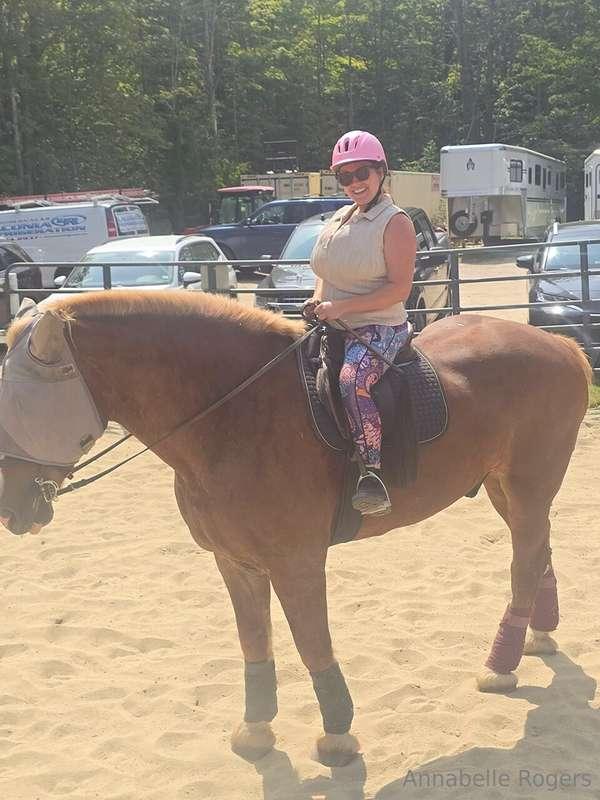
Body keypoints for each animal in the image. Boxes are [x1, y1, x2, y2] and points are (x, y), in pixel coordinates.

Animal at [0, 291, 591, 767]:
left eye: (16, 404)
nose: (11, 506)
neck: (235, 415)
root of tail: (563, 347)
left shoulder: (296, 562)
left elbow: (311, 642)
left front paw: (337, 737)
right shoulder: (235, 562)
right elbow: (254, 642)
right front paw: (256, 728)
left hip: (528, 486)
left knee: (525, 561)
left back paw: (501, 664)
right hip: (504, 489)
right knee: (539, 552)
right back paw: (538, 635)